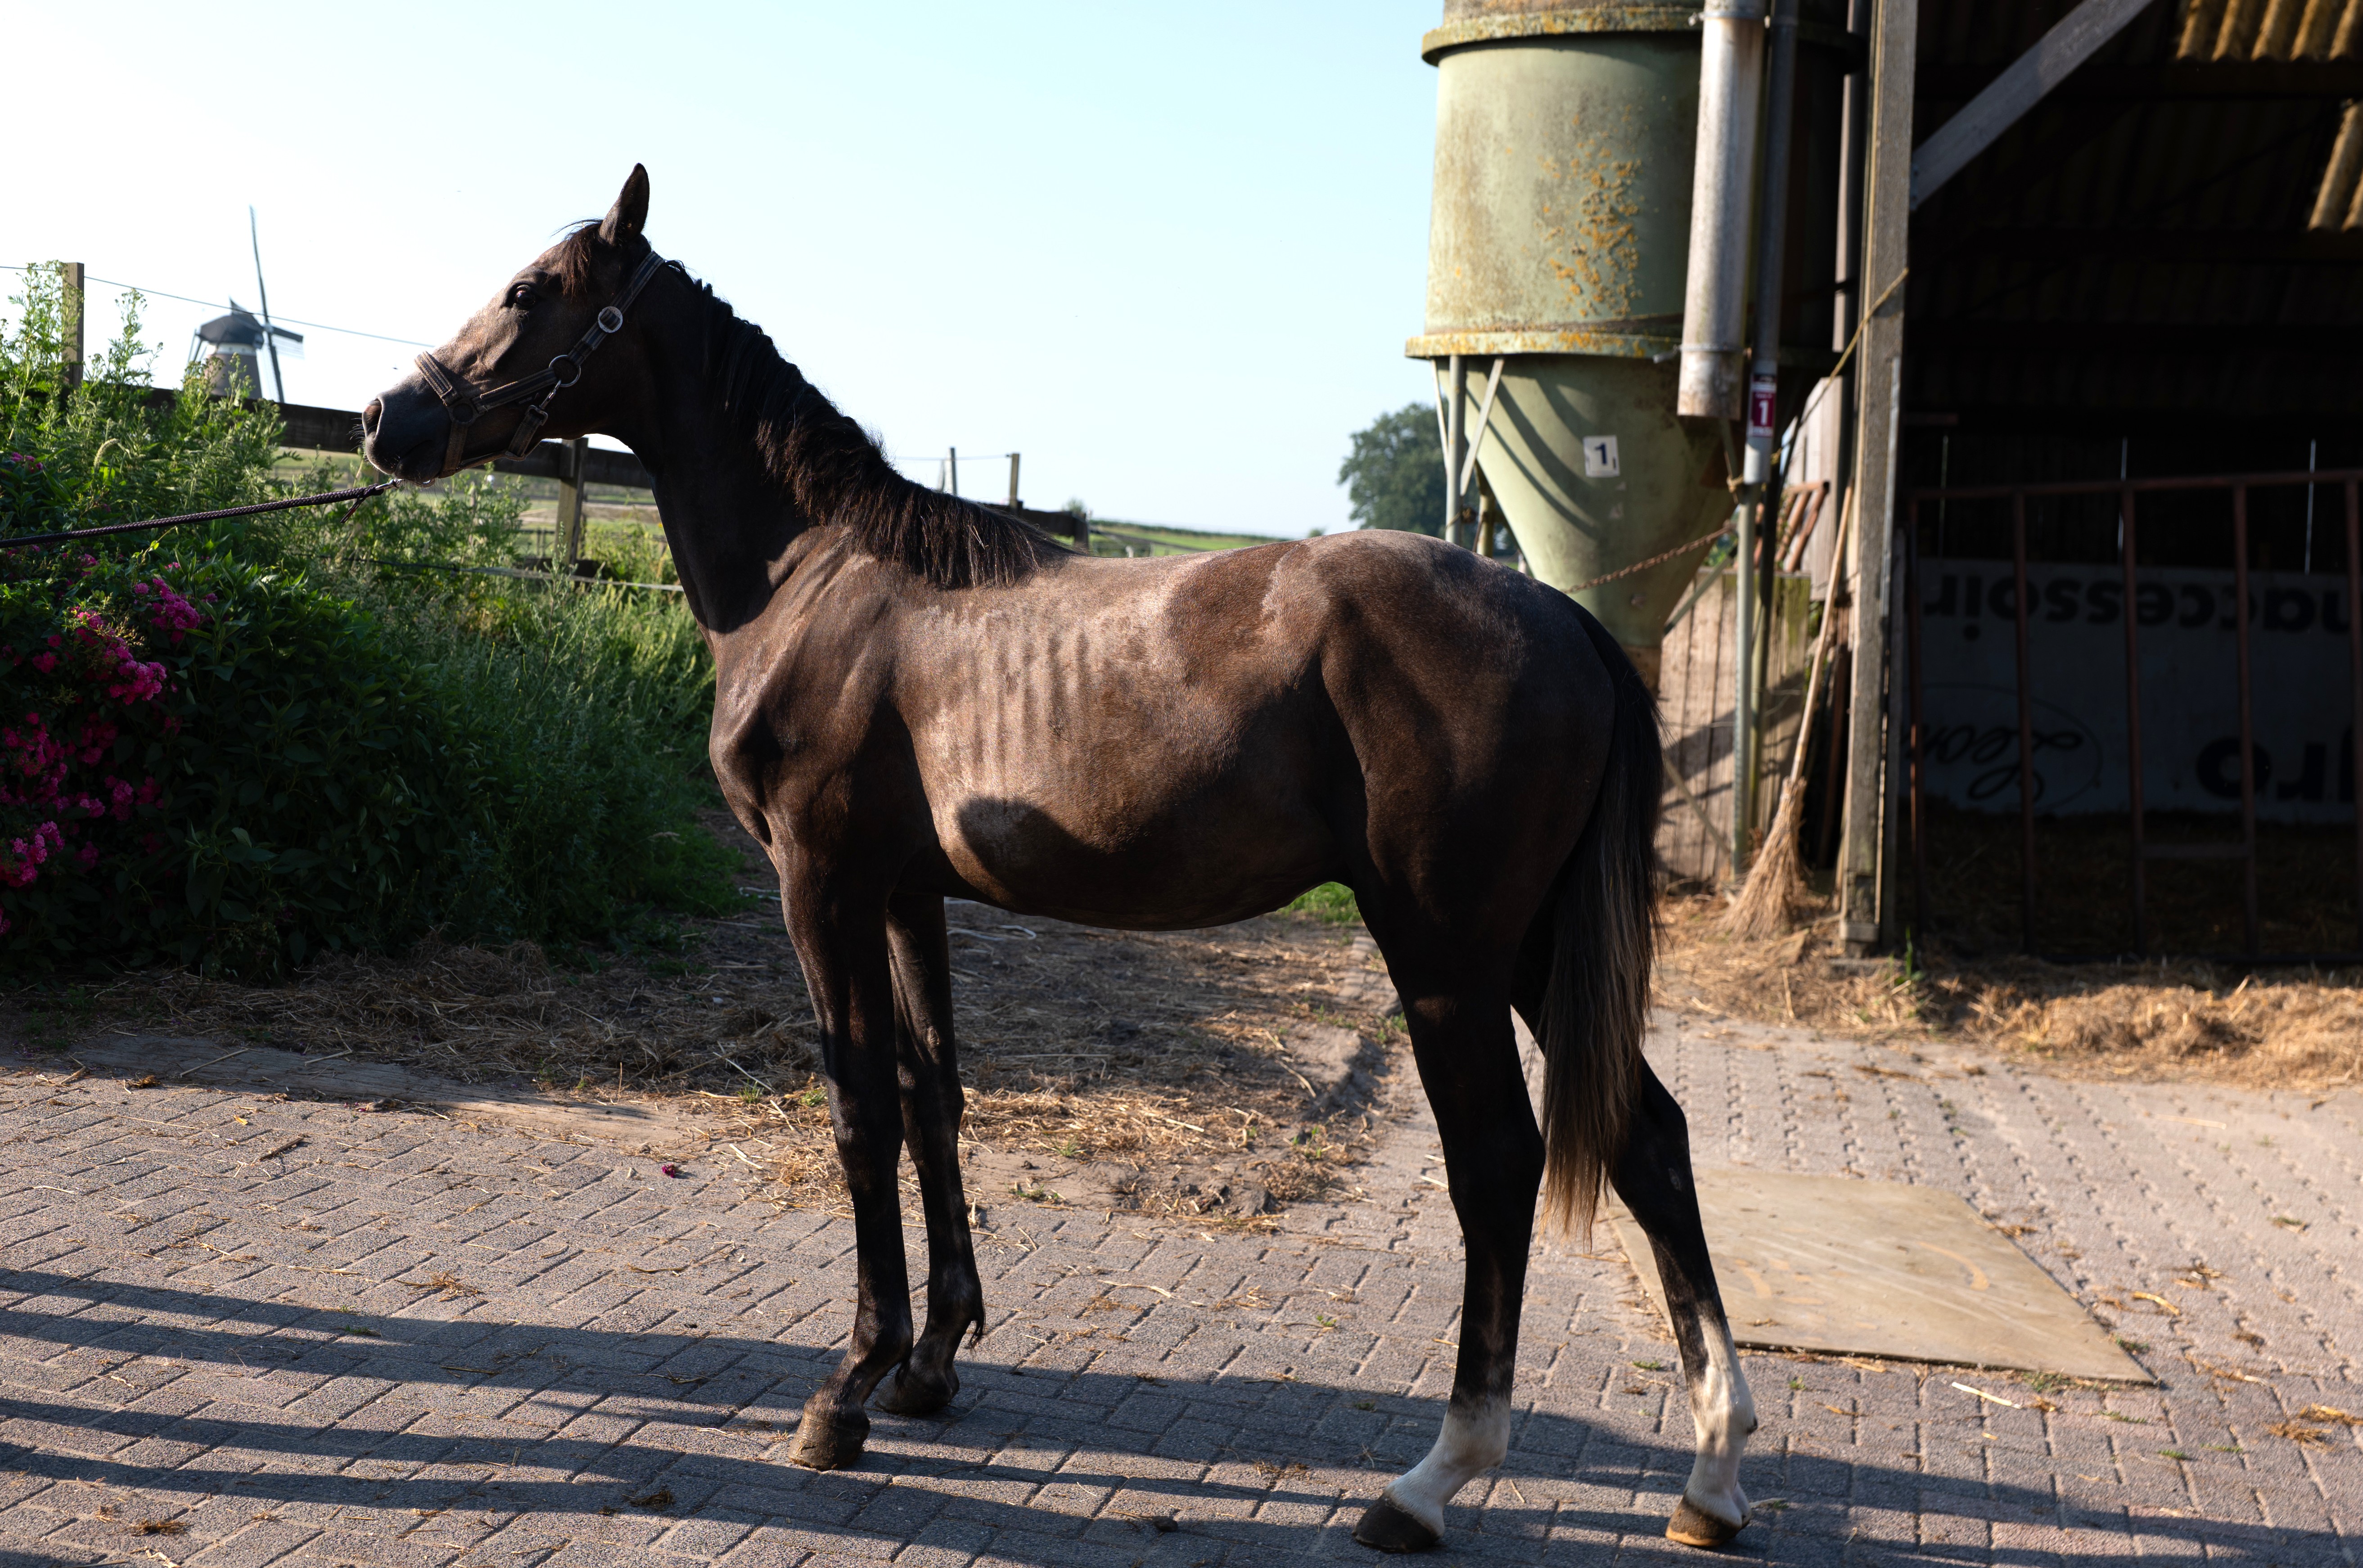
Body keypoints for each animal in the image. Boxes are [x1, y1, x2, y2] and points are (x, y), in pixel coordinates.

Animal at [362, 166, 1757, 1555]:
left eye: (530, 290)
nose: (390, 418)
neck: (814, 580)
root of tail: (1567, 618)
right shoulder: (907, 894)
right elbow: (933, 1095)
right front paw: (928, 1364)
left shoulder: (820, 884)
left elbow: (861, 1109)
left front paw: (845, 1387)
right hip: (1527, 950)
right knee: (1649, 1139)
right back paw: (1711, 1475)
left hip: (1447, 959)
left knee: (1501, 1165)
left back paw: (1431, 1479)